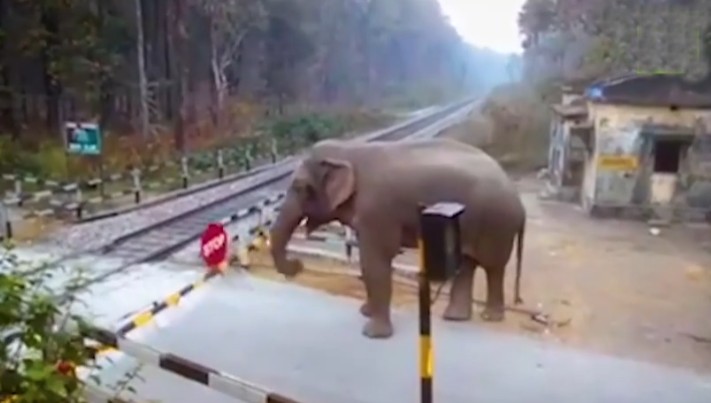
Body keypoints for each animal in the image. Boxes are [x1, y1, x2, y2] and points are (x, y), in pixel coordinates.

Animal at [270, 137, 524, 340]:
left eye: (300, 187)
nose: (297, 264)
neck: (349, 149)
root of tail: (518, 200)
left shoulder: (378, 210)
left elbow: (376, 259)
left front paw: (373, 334)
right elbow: (368, 262)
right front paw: (365, 312)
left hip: (496, 223)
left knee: (493, 266)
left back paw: (490, 316)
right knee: (467, 264)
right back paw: (455, 317)